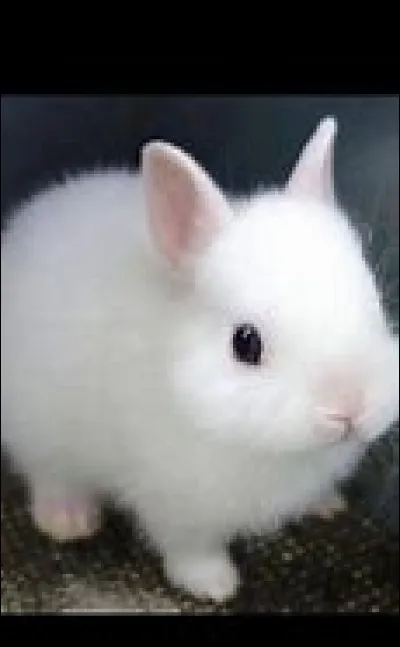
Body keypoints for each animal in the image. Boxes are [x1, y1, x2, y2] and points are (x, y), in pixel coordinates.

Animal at [1, 117, 399, 602]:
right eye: (245, 343)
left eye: (375, 302)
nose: (349, 408)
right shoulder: (175, 503)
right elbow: (189, 548)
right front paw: (215, 585)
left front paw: (326, 503)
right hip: (37, 427)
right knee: (48, 472)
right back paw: (68, 520)